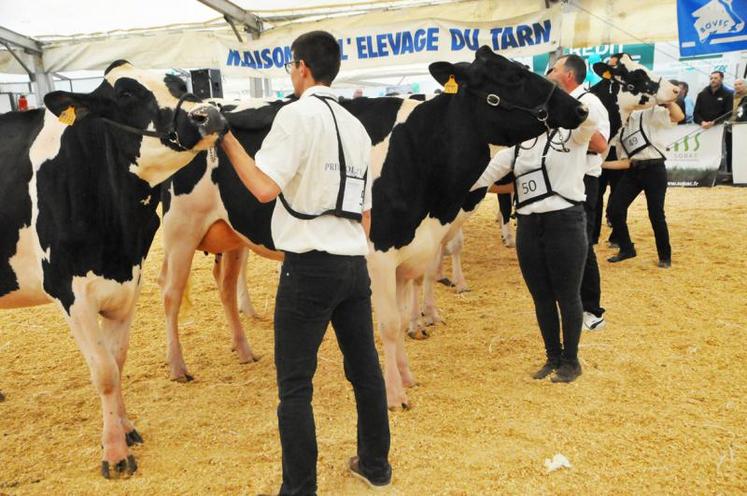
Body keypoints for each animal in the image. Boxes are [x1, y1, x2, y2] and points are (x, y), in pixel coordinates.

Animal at [0, 60, 228, 478]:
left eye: (178, 83)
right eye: (125, 94)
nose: (209, 114)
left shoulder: (127, 285)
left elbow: (118, 361)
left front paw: (125, 428)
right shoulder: (70, 293)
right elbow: (104, 372)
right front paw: (115, 452)